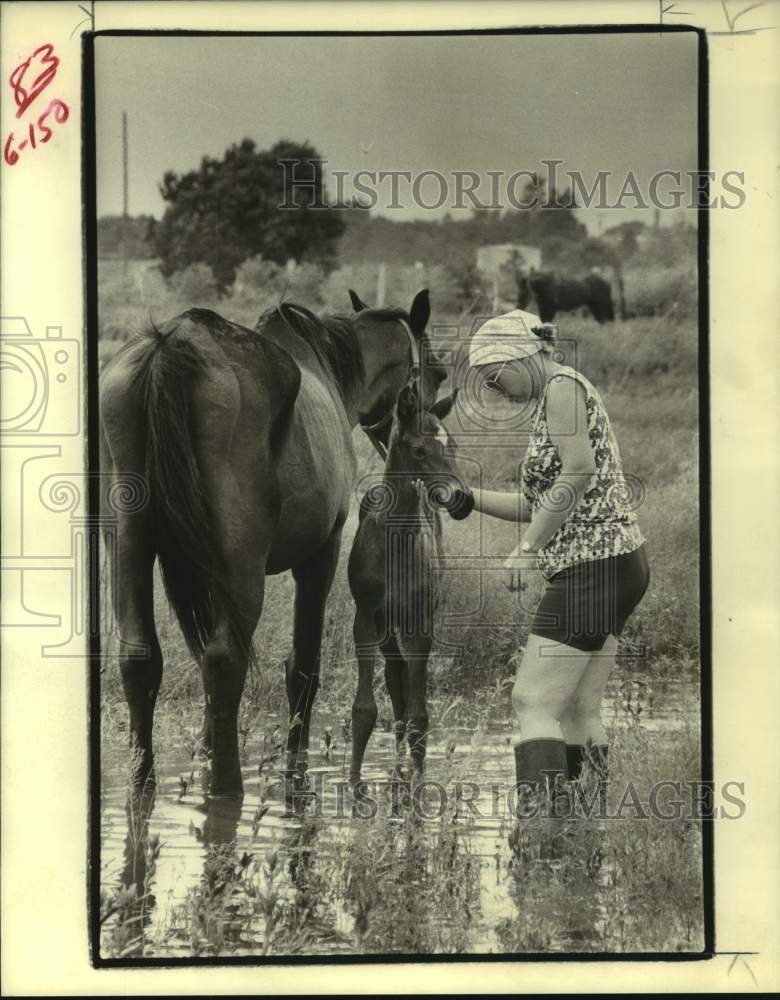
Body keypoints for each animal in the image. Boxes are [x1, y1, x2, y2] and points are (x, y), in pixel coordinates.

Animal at [98, 288, 444, 796]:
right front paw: (293, 766)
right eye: (437, 371)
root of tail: (170, 346)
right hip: (242, 566)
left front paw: (205, 747)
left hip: (130, 547)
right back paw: (225, 784)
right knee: (225, 660)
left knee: (142, 658)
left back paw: (145, 783)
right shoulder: (322, 554)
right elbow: (302, 666)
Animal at [348, 376, 472, 788]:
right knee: (393, 674)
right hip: (386, 625)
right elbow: (364, 709)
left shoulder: (421, 621)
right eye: (418, 449)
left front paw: (417, 780)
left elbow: (421, 714)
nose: (463, 499)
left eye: (453, 445)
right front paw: (354, 783)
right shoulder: (365, 618)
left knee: (400, 680)